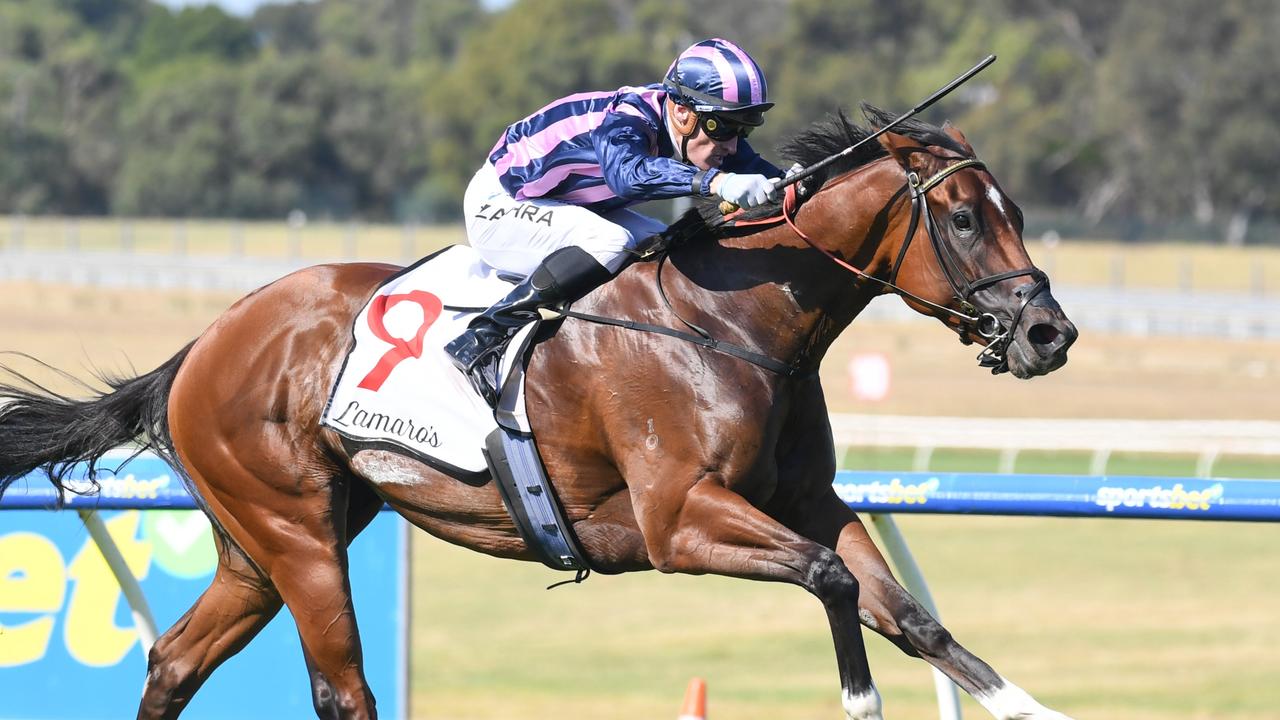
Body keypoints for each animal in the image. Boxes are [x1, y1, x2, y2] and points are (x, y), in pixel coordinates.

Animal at [0, 102, 1080, 717]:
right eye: (961, 218)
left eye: (1018, 213)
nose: (1047, 334)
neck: (733, 313)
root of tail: (202, 345)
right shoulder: (677, 520)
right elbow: (831, 579)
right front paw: (857, 698)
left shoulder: (806, 500)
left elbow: (916, 618)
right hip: (294, 532)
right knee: (341, 689)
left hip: (258, 543)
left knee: (175, 662)